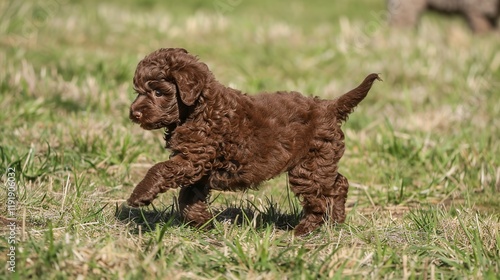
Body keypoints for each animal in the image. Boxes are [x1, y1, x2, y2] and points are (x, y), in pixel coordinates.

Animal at [128, 47, 378, 234]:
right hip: (320, 162)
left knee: (319, 199)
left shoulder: (194, 158)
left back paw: (303, 231)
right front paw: (202, 222)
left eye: (158, 93)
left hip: (308, 167)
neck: (199, 108)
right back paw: (336, 221)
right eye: (137, 91)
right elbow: (188, 196)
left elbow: (161, 169)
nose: (133, 113)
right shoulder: (199, 166)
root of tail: (330, 106)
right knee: (338, 184)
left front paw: (140, 195)